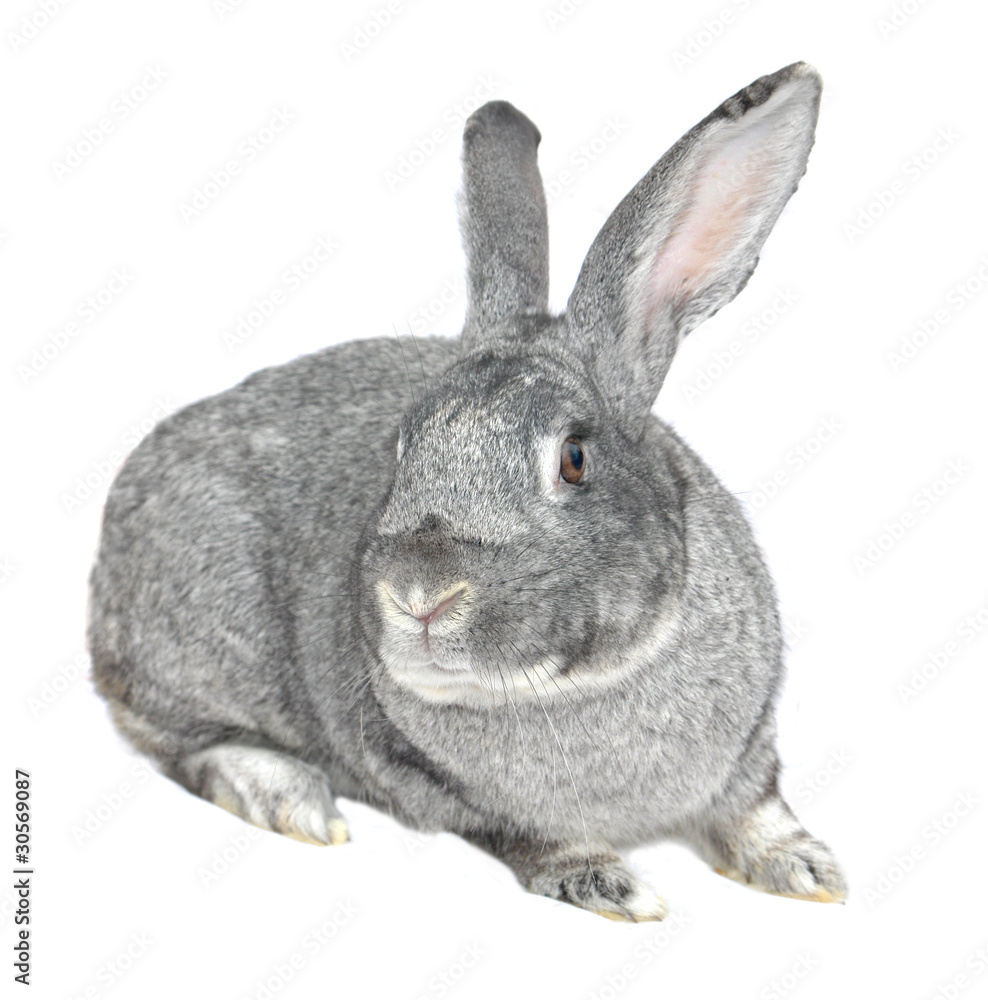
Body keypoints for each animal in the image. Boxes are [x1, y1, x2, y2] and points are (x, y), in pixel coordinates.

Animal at [88, 61, 846, 921]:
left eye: (574, 459)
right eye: (401, 446)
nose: (420, 597)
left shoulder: (751, 749)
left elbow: (757, 807)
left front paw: (808, 869)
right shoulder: (443, 789)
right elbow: (530, 836)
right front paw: (612, 887)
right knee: (175, 740)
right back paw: (287, 796)